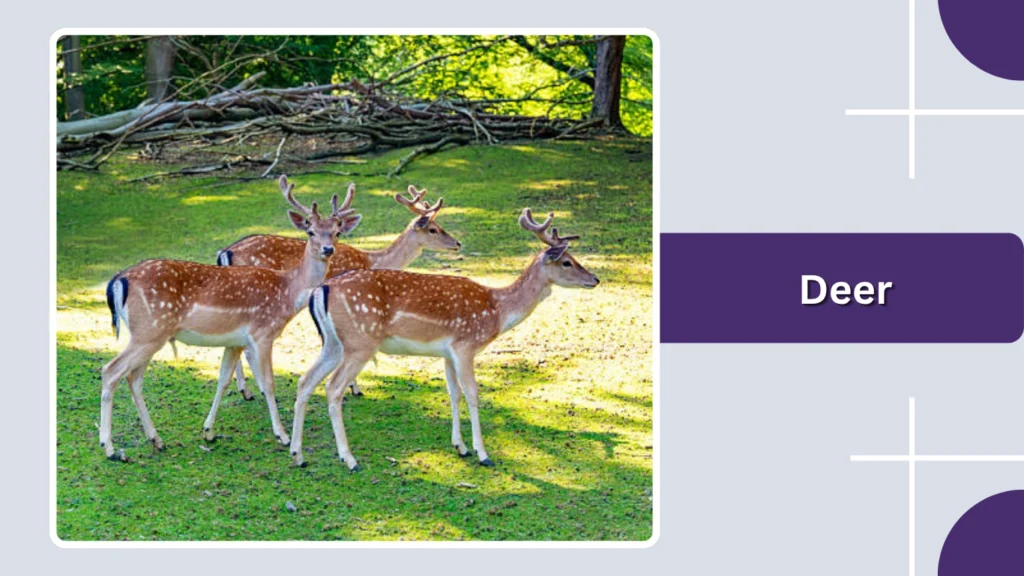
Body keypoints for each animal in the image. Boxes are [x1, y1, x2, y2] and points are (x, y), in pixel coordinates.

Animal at [100, 175, 360, 460]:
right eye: (310, 231)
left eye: (337, 231)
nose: (328, 249)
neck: (287, 293)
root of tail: (117, 281)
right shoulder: (262, 333)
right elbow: (269, 382)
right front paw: (281, 435)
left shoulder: (235, 341)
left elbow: (223, 380)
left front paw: (208, 431)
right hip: (149, 330)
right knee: (110, 371)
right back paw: (110, 447)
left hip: (150, 334)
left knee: (133, 378)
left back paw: (156, 440)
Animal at [213, 185, 460, 403]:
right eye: (433, 229)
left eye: (439, 224)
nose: (457, 243)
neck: (371, 260)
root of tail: (225, 252)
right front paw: (355, 388)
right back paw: (250, 391)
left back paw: (246, 391)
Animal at [289, 208, 600, 470]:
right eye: (568, 262)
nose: (595, 279)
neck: (497, 312)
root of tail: (321, 289)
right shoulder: (465, 345)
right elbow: (473, 394)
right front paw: (483, 454)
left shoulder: (448, 353)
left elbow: (454, 393)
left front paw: (460, 446)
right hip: (360, 342)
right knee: (332, 388)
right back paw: (349, 459)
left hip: (333, 344)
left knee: (305, 380)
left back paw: (298, 454)